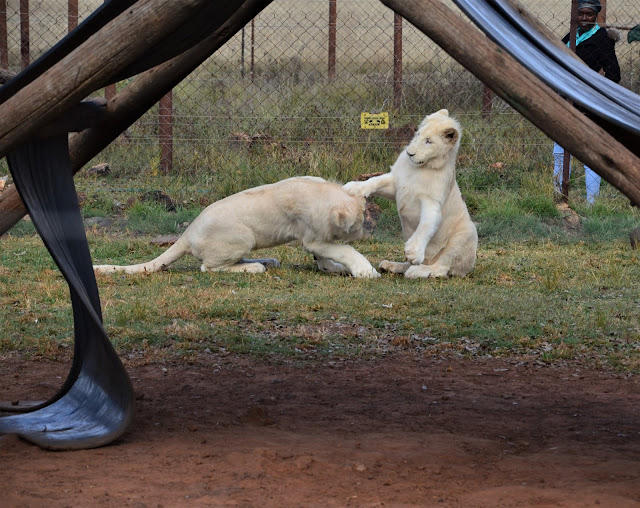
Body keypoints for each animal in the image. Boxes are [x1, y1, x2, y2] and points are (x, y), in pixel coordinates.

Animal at [94, 176, 380, 278]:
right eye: (357, 223)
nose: (361, 234)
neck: (322, 193)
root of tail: (188, 233)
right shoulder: (313, 238)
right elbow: (343, 250)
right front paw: (365, 270)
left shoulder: (317, 239)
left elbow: (328, 256)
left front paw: (332, 267)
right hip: (242, 236)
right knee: (209, 268)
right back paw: (256, 267)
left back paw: (267, 261)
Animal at [344, 108, 476, 280]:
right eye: (418, 134)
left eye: (429, 141)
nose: (409, 153)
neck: (419, 168)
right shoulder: (397, 184)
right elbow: (375, 180)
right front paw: (353, 187)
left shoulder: (432, 202)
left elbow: (426, 225)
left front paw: (414, 251)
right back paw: (392, 266)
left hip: (466, 232)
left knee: (442, 268)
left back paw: (418, 270)